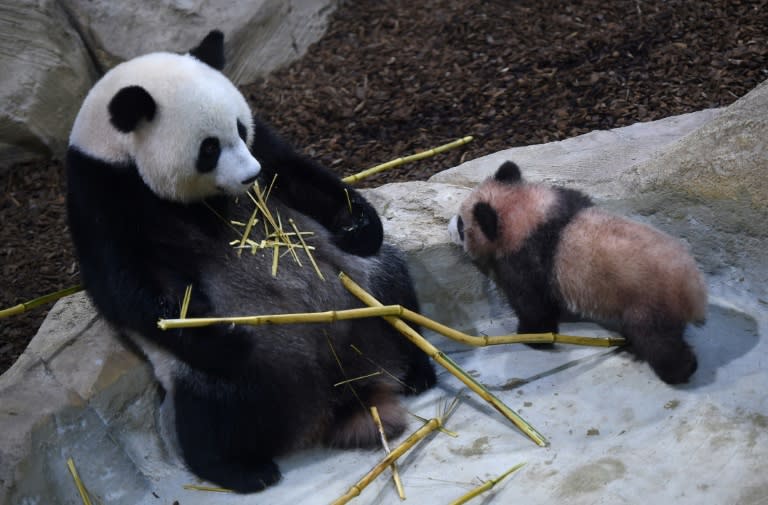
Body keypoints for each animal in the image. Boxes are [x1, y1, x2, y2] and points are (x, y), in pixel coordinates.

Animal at [66, 30, 436, 492]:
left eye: (240, 129)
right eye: (208, 148)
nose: (249, 175)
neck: (115, 151)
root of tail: (340, 391)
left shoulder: (266, 145)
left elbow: (297, 174)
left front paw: (360, 225)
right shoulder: (101, 197)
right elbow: (130, 288)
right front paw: (222, 335)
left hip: (361, 290)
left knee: (395, 296)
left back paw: (417, 369)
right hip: (222, 374)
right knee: (212, 409)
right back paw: (241, 469)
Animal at [450, 160, 708, 382]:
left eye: (462, 225)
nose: (451, 228)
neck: (527, 213)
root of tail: (694, 292)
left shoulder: (529, 259)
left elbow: (534, 305)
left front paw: (531, 337)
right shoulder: (564, 200)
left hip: (647, 301)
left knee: (657, 340)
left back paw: (678, 370)